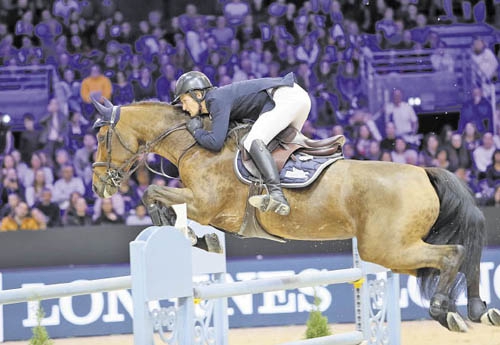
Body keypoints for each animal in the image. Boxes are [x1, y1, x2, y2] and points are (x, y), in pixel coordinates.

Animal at [91, 97, 500, 330]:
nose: (98, 187)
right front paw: (199, 239)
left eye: (99, 138)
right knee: (464, 257)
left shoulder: (206, 205)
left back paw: (445, 312)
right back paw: (479, 311)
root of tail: (424, 172)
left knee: (454, 254)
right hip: (392, 250)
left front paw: (186, 232)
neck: (196, 144)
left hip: (388, 248)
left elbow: (153, 193)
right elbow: (164, 201)